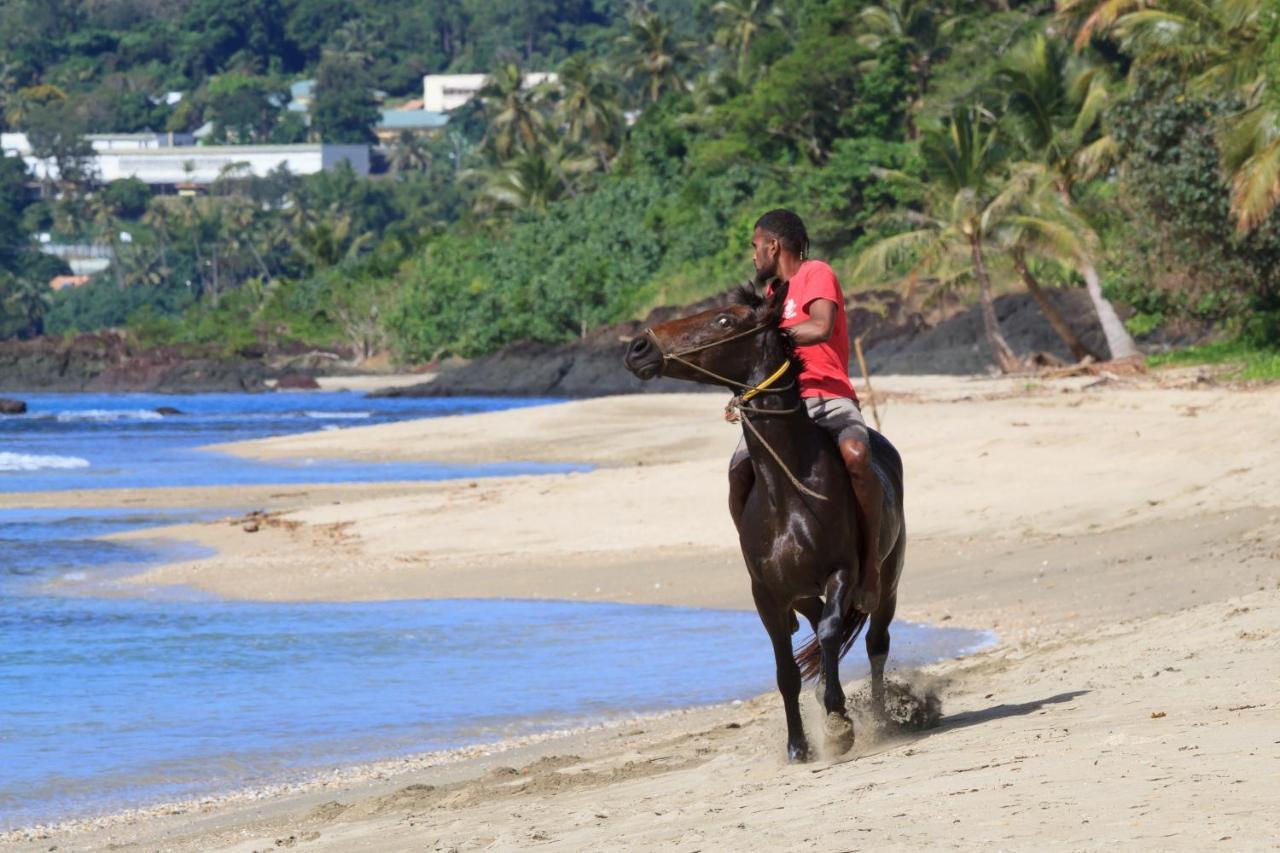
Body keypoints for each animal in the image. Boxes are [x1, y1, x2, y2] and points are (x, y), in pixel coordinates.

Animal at [622, 280, 906, 758]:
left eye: (724, 320)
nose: (638, 348)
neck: (787, 492)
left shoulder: (842, 572)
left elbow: (831, 632)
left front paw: (838, 721)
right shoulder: (767, 595)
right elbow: (786, 669)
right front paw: (798, 745)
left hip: (886, 582)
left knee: (875, 643)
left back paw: (883, 716)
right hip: (804, 595)